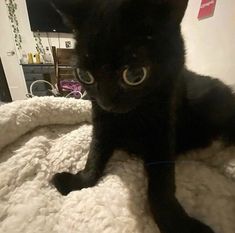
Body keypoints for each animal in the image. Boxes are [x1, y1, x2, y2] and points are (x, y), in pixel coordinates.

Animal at [50, 0, 234, 232]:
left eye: (135, 75)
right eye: (85, 75)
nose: (106, 103)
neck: (131, 116)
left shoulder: (162, 134)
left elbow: (161, 186)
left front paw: (179, 224)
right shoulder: (102, 125)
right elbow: (94, 154)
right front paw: (79, 182)